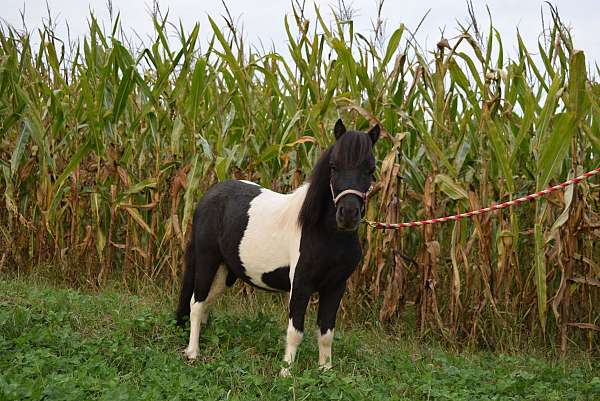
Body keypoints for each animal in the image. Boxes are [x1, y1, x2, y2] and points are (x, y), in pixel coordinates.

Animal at [176, 117, 378, 374]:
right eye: (334, 166)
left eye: (370, 169)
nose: (348, 215)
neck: (325, 234)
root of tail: (208, 197)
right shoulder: (300, 285)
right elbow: (295, 332)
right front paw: (286, 372)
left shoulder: (335, 287)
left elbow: (326, 334)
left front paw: (325, 371)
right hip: (206, 261)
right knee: (196, 303)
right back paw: (193, 352)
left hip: (225, 273)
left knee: (207, 303)